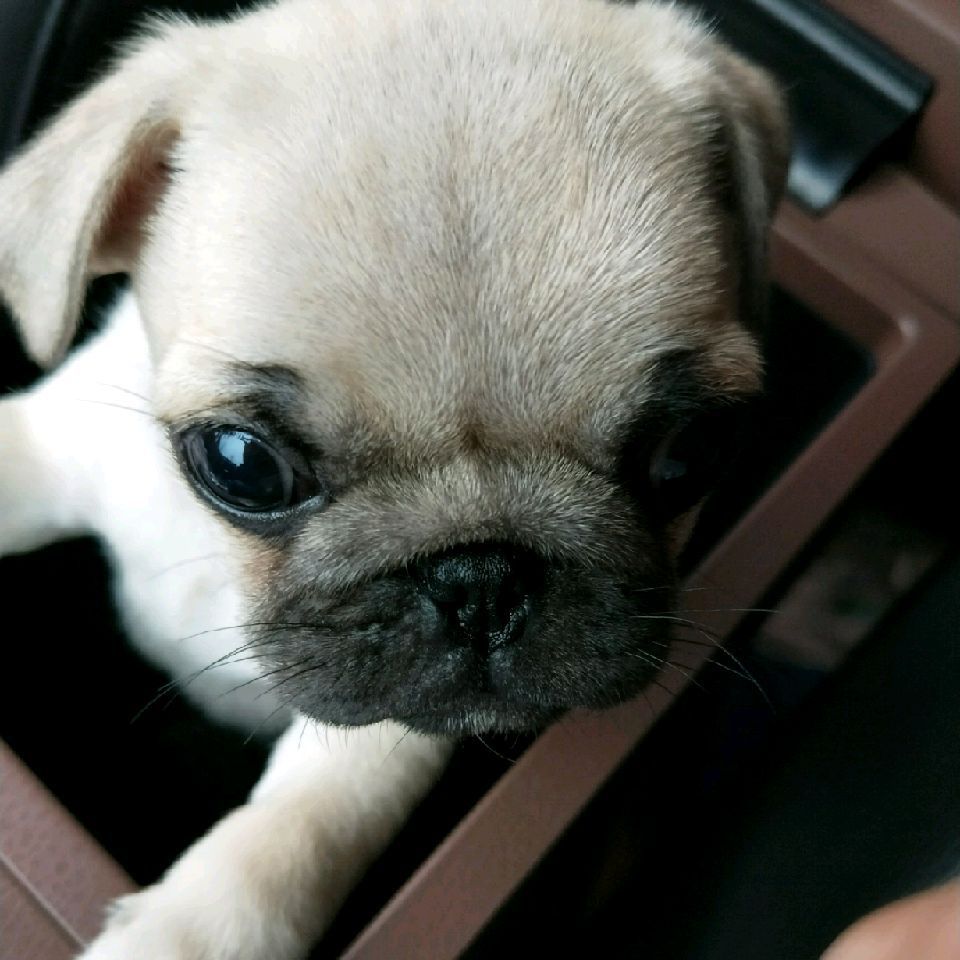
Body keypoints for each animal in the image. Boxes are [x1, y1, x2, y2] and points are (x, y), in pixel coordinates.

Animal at [0, 0, 788, 956]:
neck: (215, 559)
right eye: (242, 464)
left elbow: (303, 823)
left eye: (688, 453)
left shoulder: (391, 729)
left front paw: (193, 930)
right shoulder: (51, 449)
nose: (481, 576)